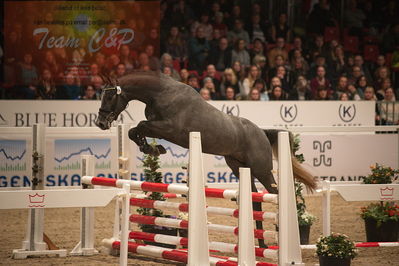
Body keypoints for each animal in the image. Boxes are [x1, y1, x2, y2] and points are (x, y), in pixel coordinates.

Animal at [95, 71, 318, 248]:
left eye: (109, 96)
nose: (100, 123)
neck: (161, 93)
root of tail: (262, 132)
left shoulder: (169, 128)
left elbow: (140, 125)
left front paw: (153, 147)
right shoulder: (159, 126)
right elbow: (134, 130)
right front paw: (151, 147)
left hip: (261, 169)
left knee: (276, 193)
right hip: (237, 166)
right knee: (255, 199)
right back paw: (261, 243)